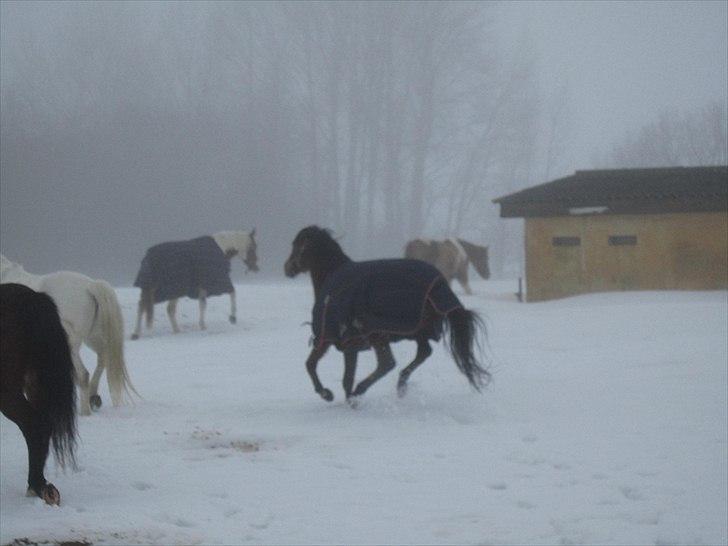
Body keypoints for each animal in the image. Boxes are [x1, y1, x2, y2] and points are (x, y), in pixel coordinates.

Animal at [0, 253, 136, 414]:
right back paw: (93, 398)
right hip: (93, 337)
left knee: (83, 374)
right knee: (102, 359)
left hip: (71, 343)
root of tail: (90, 285)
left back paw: (85, 411)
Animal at [132, 227, 260, 338]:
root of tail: (148, 257)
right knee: (147, 306)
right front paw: (232, 317)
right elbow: (232, 293)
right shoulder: (217, 282)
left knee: (159, 308)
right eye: (253, 247)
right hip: (164, 290)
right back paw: (138, 333)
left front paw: (202, 325)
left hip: (168, 290)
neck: (221, 248)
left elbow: (202, 304)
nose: (256, 268)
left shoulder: (202, 287)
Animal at [284, 223, 490, 402]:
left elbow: (323, 370)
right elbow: (327, 370)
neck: (334, 277)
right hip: (416, 331)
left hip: (380, 334)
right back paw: (400, 385)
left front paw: (330, 394)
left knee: (387, 363)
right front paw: (337, 395)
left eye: (296, 245)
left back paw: (362, 391)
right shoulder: (344, 342)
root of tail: (437, 285)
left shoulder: (334, 338)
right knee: (422, 353)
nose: (287, 268)